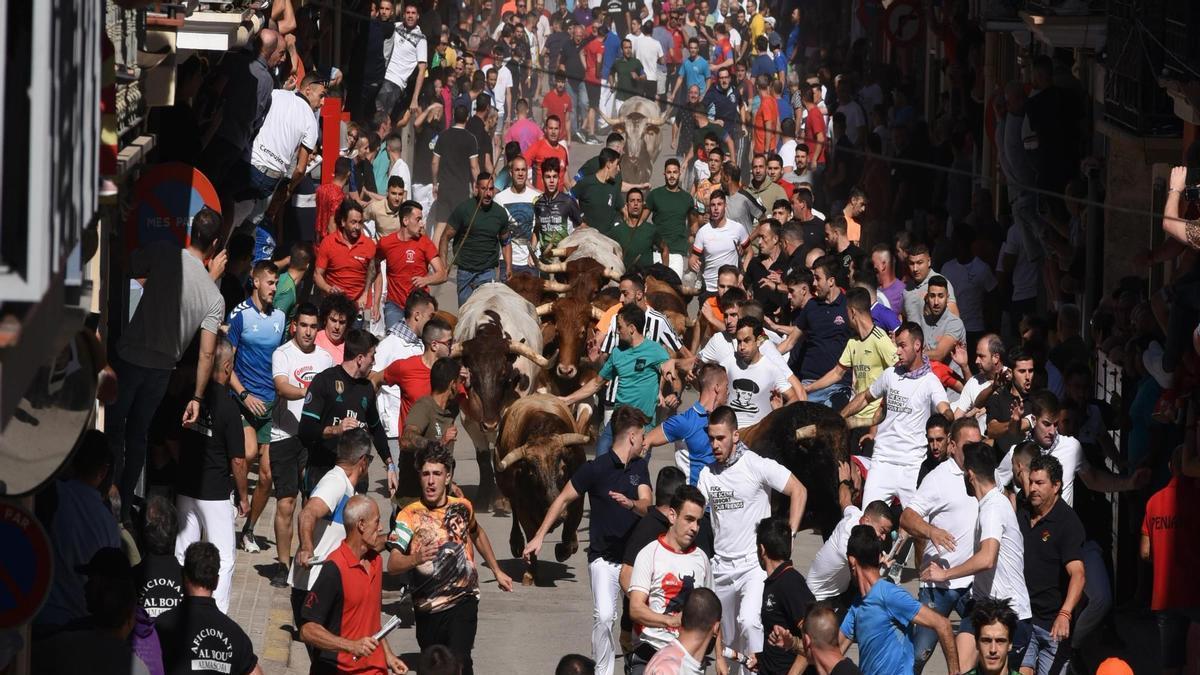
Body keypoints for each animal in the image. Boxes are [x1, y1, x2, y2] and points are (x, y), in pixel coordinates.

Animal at [494, 391, 592, 581]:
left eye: (563, 467)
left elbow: (569, 531)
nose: (559, 514)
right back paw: (516, 543)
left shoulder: (578, 501)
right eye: (532, 473)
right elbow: (531, 534)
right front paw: (530, 572)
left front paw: (564, 549)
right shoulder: (523, 506)